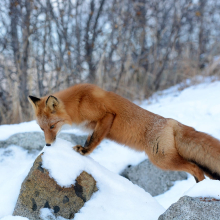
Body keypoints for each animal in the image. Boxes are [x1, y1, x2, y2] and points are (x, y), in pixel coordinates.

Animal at [28, 83, 220, 181]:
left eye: (52, 127)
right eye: (42, 128)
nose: (48, 144)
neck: (78, 103)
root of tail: (171, 121)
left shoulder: (106, 116)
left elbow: (94, 140)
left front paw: (84, 151)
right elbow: (91, 138)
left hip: (162, 159)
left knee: (196, 168)